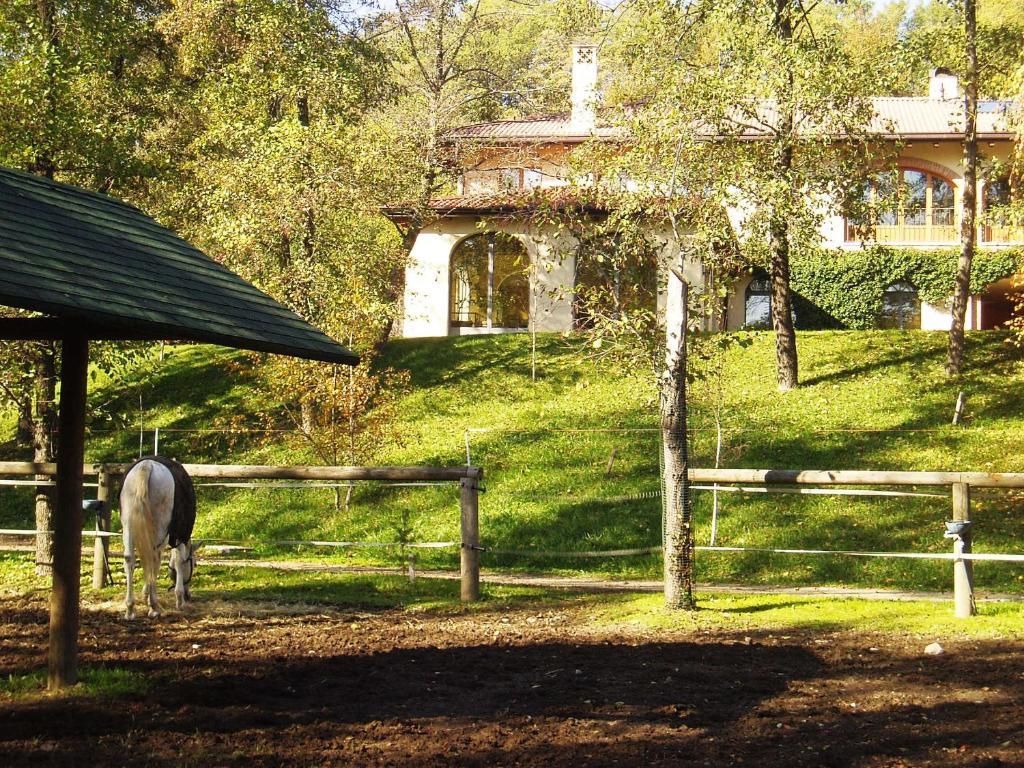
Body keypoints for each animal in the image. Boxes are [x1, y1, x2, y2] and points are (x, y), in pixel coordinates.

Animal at [120, 456, 196, 618]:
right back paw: (154, 606)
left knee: (130, 559)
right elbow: (178, 561)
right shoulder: (179, 536)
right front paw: (179, 599)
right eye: (194, 563)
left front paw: (145, 594)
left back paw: (130, 608)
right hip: (159, 527)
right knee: (152, 557)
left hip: (128, 525)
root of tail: (147, 466)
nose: (188, 595)